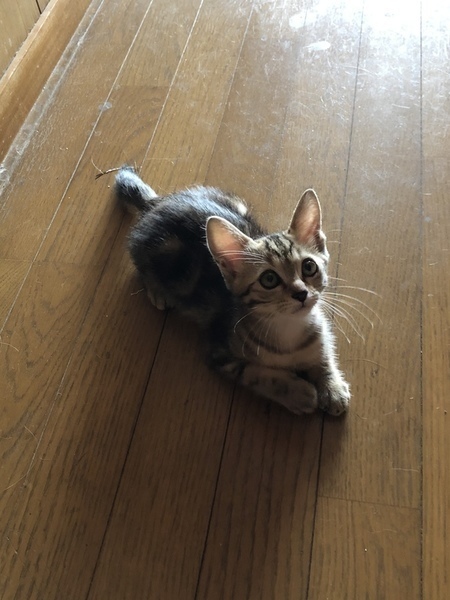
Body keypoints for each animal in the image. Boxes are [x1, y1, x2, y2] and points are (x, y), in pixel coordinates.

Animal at [115, 166, 350, 416]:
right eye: (269, 279)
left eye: (309, 267)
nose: (301, 293)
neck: (289, 329)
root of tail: (156, 203)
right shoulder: (220, 352)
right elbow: (257, 374)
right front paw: (298, 392)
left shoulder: (320, 326)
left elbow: (324, 351)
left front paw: (332, 386)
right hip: (164, 258)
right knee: (141, 265)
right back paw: (158, 293)